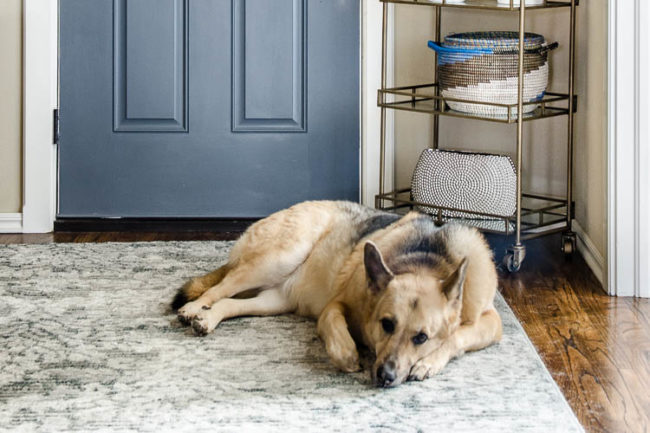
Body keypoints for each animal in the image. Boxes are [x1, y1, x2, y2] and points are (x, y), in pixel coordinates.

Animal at [172, 201, 502, 386]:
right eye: (386, 324)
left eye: (421, 337)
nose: (385, 377)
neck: (424, 260)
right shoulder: (336, 305)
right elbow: (334, 324)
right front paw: (346, 353)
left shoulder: (492, 322)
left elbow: (457, 336)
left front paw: (428, 363)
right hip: (279, 258)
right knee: (220, 287)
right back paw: (194, 309)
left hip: (275, 299)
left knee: (229, 302)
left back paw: (207, 318)